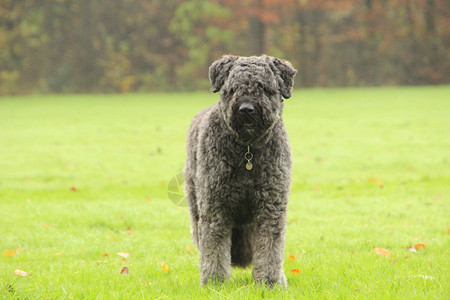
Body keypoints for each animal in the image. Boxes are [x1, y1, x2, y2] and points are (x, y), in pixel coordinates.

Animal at [185, 55, 298, 288]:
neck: (248, 151)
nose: (246, 108)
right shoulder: (215, 208)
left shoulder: (269, 208)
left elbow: (270, 249)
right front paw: (215, 283)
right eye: (233, 88)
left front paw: (269, 283)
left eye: (263, 87)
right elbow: (214, 249)